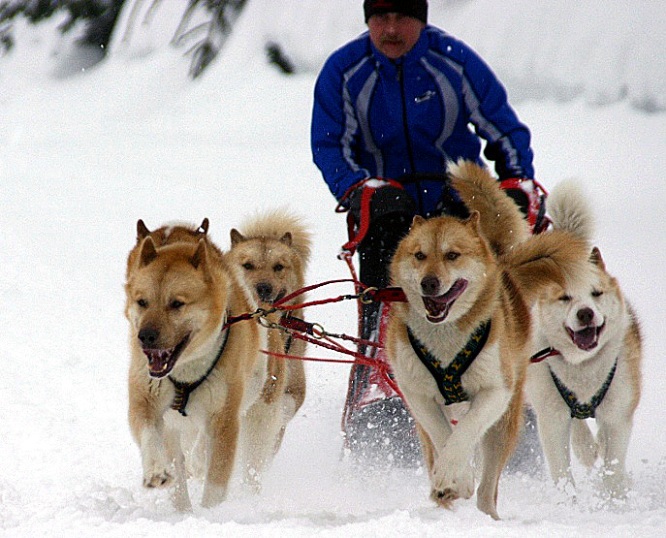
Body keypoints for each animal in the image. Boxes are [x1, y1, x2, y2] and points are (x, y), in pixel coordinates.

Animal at [124, 219, 268, 510]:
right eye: (142, 301)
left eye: (176, 303)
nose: (145, 336)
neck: (186, 370)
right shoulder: (147, 400)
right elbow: (150, 434)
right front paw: (157, 471)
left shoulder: (225, 418)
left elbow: (215, 481)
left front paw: (210, 514)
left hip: (250, 387)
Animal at [384, 160, 588, 516]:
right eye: (419, 255)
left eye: (452, 255)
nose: (428, 283)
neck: (445, 340)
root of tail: (503, 266)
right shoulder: (415, 393)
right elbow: (443, 435)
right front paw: (453, 479)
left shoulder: (495, 391)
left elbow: (464, 434)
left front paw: (454, 476)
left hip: (504, 423)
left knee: (487, 487)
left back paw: (483, 513)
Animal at [524, 178, 640, 496]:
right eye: (565, 297)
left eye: (596, 293)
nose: (585, 313)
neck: (583, 368)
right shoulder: (551, 417)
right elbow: (561, 471)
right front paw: (569, 501)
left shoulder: (618, 415)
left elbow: (613, 467)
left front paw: (613, 499)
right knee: (580, 433)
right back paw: (587, 448)